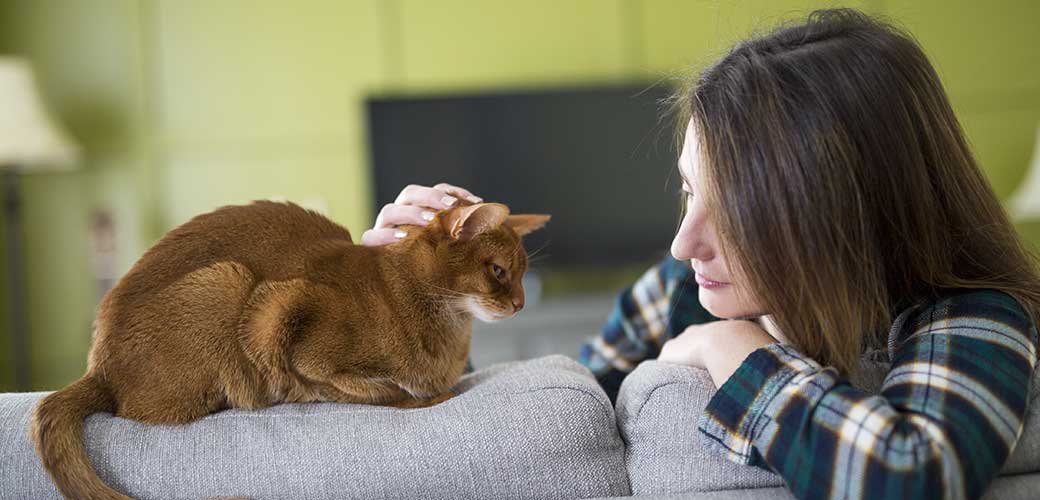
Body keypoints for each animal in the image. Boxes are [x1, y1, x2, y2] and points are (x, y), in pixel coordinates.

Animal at [30, 198, 553, 498]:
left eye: (523, 272)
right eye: (498, 271)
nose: (522, 302)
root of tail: (97, 367)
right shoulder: (281, 318)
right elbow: (376, 389)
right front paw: (425, 397)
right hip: (228, 280)